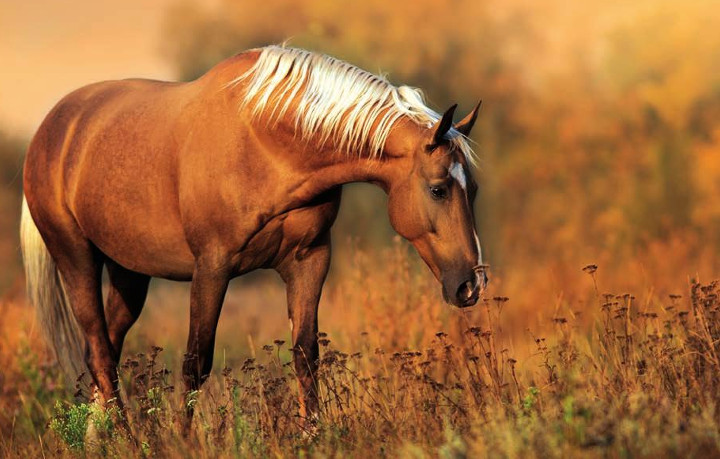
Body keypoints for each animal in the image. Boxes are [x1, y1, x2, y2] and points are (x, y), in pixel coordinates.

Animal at [20, 45, 486, 429]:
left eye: (474, 190)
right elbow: (195, 363)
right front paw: (183, 442)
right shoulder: (212, 266)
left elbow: (305, 356)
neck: (267, 143)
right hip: (76, 258)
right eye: (438, 189)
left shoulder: (310, 259)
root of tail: (52, 129)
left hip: (129, 272)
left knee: (107, 354)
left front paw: (313, 436)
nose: (472, 285)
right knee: (100, 354)